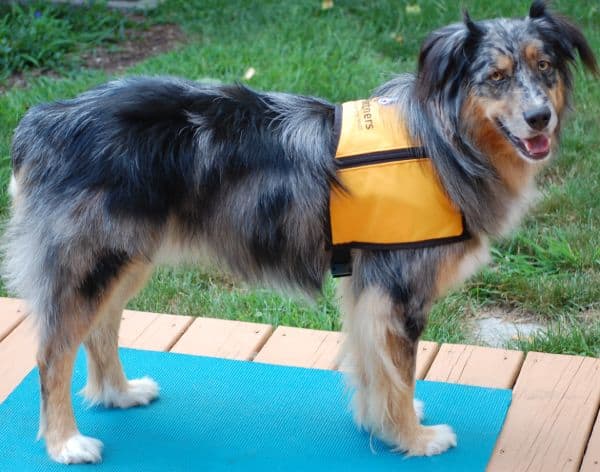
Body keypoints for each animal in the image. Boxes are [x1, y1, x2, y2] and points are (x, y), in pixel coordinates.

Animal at [3, 0, 596, 464]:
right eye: (495, 77)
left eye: (544, 67)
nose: (540, 118)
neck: (442, 143)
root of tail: (42, 120)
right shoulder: (397, 290)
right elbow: (399, 373)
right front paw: (414, 437)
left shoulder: (365, 288)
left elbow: (374, 367)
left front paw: (379, 423)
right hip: (91, 258)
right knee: (52, 353)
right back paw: (65, 442)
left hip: (126, 255)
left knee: (100, 329)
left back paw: (118, 394)